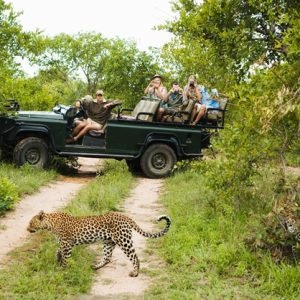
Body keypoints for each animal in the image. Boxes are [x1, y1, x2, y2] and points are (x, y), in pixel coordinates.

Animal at [27, 211, 171, 276]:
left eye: (31, 223)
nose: (27, 229)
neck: (50, 224)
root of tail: (126, 217)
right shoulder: (65, 244)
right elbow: (58, 251)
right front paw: (57, 259)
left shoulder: (67, 244)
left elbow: (65, 258)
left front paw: (63, 269)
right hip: (109, 242)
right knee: (107, 257)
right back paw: (95, 267)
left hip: (124, 240)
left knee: (135, 257)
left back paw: (135, 273)